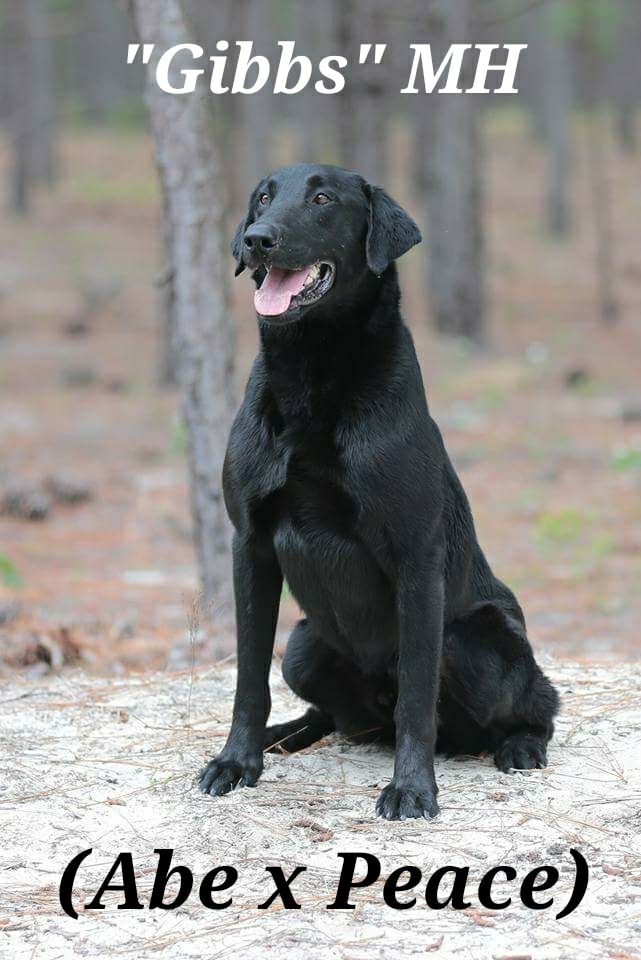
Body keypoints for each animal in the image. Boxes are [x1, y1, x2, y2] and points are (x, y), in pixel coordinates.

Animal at [198, 163, 556, 816]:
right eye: (262, 198)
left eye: (322, 199)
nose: (258, 239)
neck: (311, 376)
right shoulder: (250, 543)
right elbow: (247, 676)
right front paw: (237, 761)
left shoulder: (417, 557)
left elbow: (417, 693)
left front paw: (411, 788)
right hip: (305, 646)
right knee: (330, 716)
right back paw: (285, 735)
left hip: (476, 644)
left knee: (536, 704)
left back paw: (519, 745)